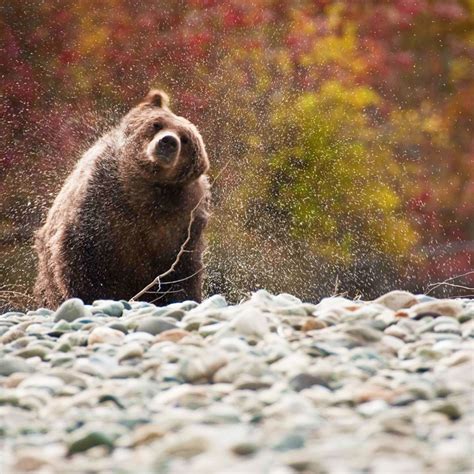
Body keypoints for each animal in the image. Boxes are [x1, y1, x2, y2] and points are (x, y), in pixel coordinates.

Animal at [34, 90, 210, 310]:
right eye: (157, 124)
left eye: (185, 139)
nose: (168, 141)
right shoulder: (99, 203)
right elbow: (81, 259)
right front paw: (89, 296)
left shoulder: (182, 223)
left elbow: (183, 270)